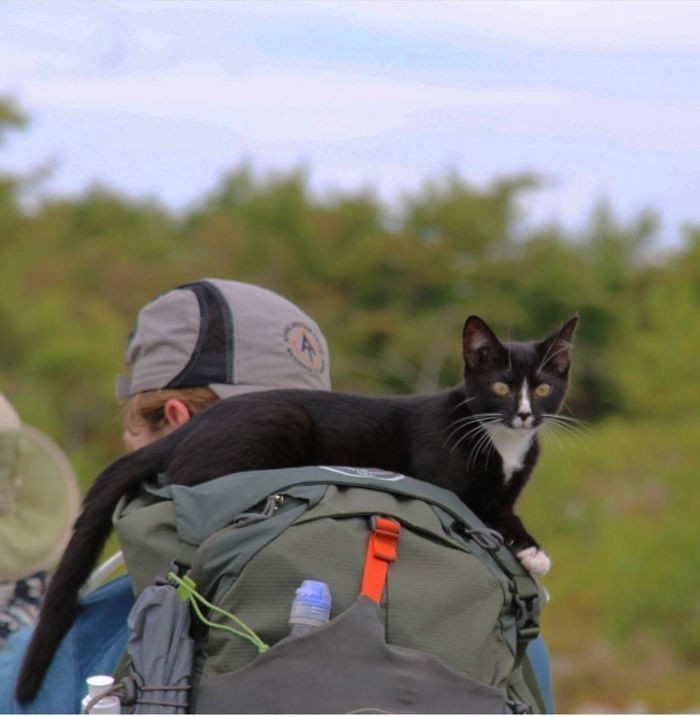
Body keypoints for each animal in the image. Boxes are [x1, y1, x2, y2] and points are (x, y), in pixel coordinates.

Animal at [15, 312, 580, 700]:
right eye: (501, 385)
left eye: (543, 387)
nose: (524, 414)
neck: (502, 444)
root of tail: (193, 429)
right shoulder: (448, 480)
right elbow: (485, 510)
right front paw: (532, 551)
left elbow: (501, 507)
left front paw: (530, 549)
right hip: (274, 428)